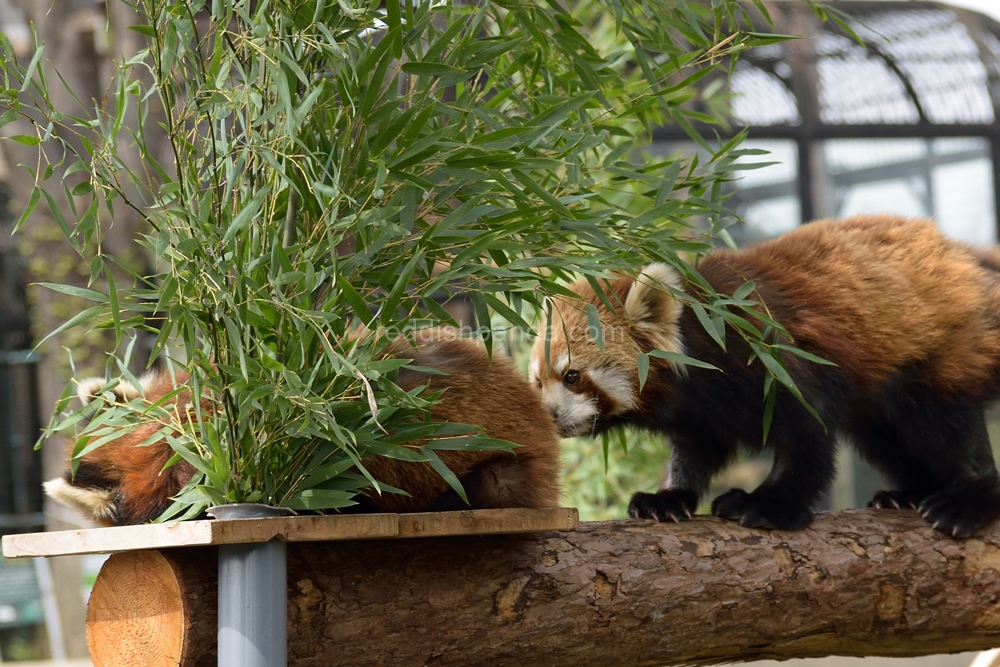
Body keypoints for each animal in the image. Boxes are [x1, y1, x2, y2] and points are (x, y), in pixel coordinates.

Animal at [532, 217, 1000, 540]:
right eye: (538, 382)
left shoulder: (774, 362)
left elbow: (806, 440)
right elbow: (696, 451)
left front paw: (769, 505)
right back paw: (908, 493)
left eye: (572, 376)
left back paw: (968, 499)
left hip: (938, 351)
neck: (705, 338)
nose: (549, 416)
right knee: (891, 439)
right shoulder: (698, 412)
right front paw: (667, 499)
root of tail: (965, 255)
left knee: (944, 425)